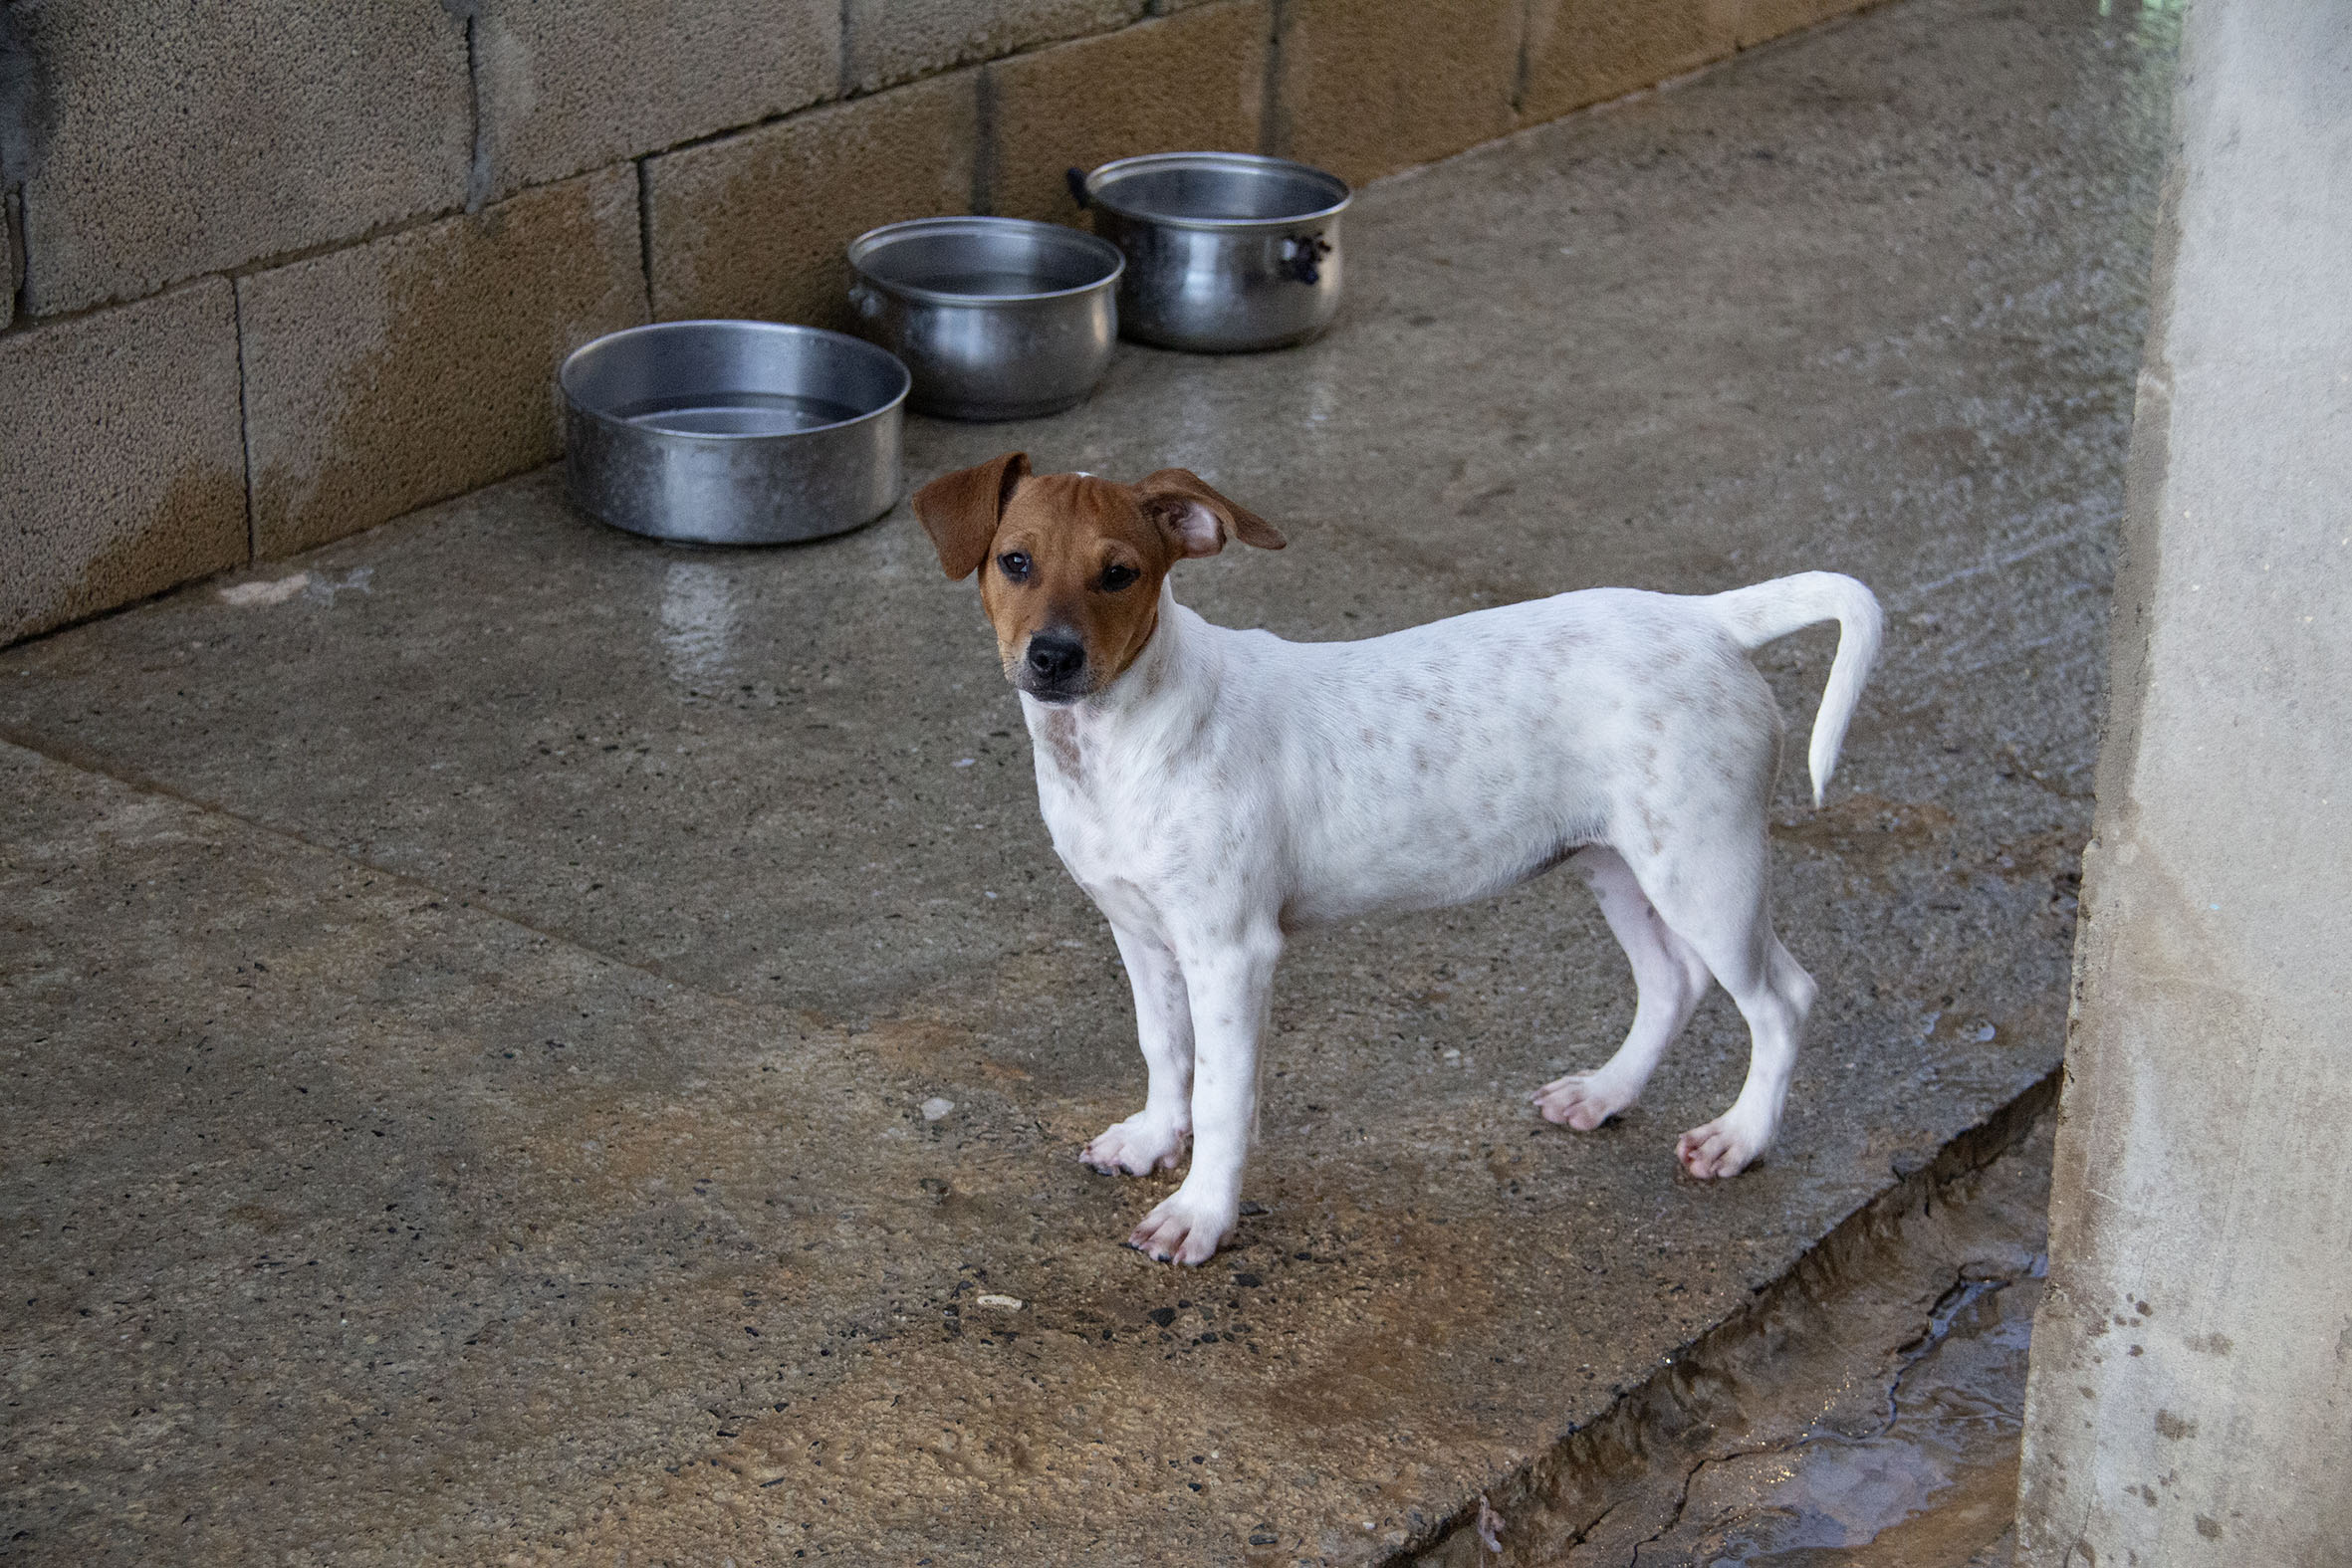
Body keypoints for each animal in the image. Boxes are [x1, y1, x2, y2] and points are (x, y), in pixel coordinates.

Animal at [913, 454, 1882, 1265]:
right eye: (1014, 562)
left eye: (1119, 574)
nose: (1052, 657)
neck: (1113, 741)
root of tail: (1704, 616)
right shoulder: (1140, 931)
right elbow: (1166, 1048)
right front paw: (1154, 1138)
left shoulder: (1230, 953)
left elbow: (1223, 1094)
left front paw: (1200, 1213)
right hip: (1615, 859)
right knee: (1673, 979)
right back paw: (1605, 1093)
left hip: (1704, 866)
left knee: (1782, 998)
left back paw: (1741, 1136)